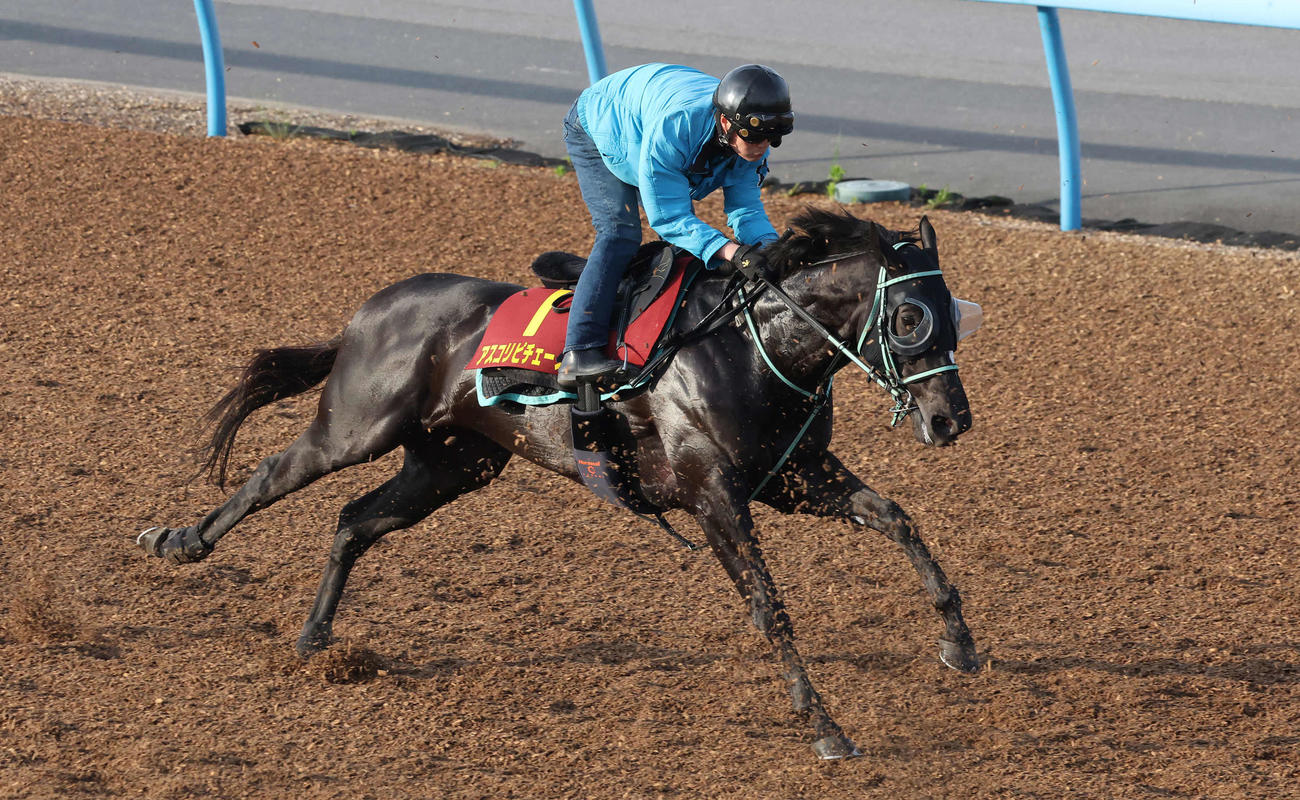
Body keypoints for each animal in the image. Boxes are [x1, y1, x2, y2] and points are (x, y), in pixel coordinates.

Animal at [138, 207, 979, 760]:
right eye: (909, 317)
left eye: (954, 315)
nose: (950, 421)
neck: (752, 347)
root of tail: (368, 311)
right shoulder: (714, 495)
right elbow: (769, 607)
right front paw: (826, 727)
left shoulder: (798, 478)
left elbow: (898, 519)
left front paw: (960, 644)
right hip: (356, 426)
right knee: (272, 474)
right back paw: (177, 541)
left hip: (454, 462)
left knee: (354, 519)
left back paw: (316, 637)